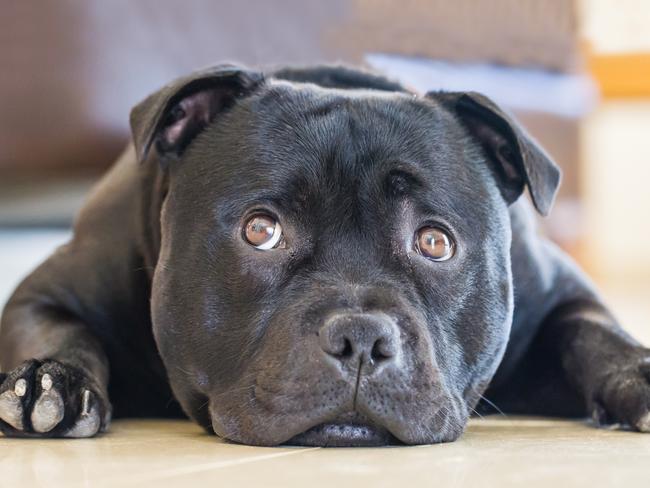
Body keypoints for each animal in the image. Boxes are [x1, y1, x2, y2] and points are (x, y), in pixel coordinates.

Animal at [1, 65, 648, 446]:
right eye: (260, 230)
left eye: (435, 242)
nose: (361, 339)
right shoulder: (49, 290)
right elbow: (60, 329)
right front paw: (50, 383)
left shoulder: (559, 295)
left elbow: (590, 329)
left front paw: (636, 372)